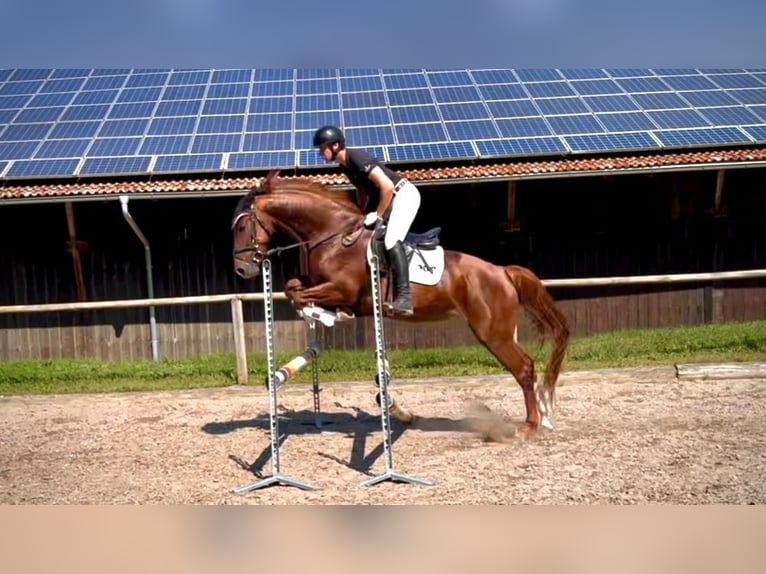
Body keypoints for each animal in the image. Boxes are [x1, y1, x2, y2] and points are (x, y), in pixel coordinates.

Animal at [232, 171, 568, 436]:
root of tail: (502, 271)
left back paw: (530, 425)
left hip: (493, 333)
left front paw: (328, 316)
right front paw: (327, 315)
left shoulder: (343, 290)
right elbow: (293, 287)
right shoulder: (323, 285)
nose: (242, 270)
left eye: (240, 227)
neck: (332, 236)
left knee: (524, 367)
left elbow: (303, 296)